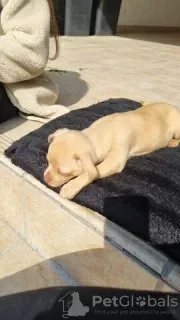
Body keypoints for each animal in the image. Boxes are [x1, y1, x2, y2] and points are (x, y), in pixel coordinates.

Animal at [43, 102, 180, 199]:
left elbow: (88, 174)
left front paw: (70, 188)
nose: (45, 178)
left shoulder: (113, 162)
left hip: (177, 129)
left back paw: (172, 142)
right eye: (47, 161)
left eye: (63, 172)